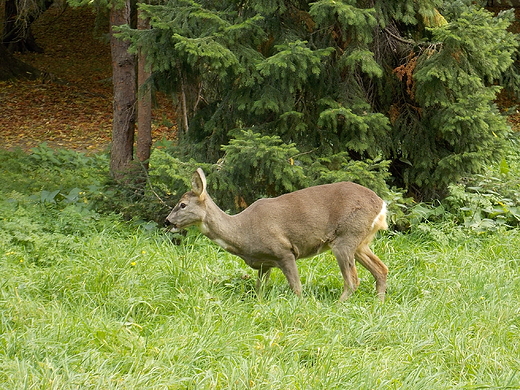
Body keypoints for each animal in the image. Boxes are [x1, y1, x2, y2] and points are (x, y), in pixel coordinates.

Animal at [165, 168, 388, 302]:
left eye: (182, 204)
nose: (167, 221)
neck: (243, 232)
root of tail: (381, 205)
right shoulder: (265, 263)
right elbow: (259, 290)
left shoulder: (284, 251)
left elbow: (296, 288)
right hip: (360, 241)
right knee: (381, 269)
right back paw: (378, 302)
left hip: (345, 237)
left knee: (353, 280)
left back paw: (339, 305)